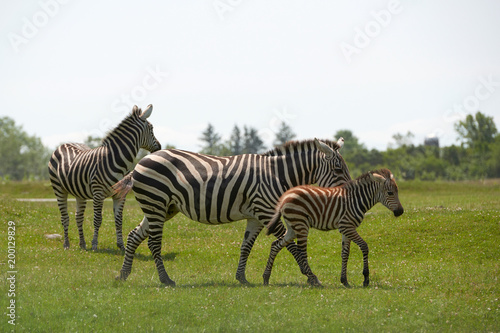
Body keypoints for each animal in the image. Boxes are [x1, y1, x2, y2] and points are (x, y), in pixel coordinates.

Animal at [47, 104, 161, 249]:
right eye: (151, 129)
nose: (160, 147)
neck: (116, 159)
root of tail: (64, 144)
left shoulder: (121, 194)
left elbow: (119, 220)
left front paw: (121, 246)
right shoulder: (98, 192)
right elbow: (97, 219)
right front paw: (95, 244)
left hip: (79, 192)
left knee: (78, 216)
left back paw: (82, 244)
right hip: (58, 188)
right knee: (65, 217)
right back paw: (67, 244)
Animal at [112, 137, 352, 286]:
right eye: (338, 169)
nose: (348, 193)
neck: (276, 174)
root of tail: (141, 161)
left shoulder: (256, 217)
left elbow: (246, 246)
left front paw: (242, 278)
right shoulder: (266, 211)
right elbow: (291, 246)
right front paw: (312, 277)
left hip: (163, 207)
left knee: (134, 236)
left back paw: (123, 274)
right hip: (156, 203)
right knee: (153, 243)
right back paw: (166, 280)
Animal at [264, 167, 404, 286]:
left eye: (397, 192)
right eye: (390, 193)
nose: (400, 212)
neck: (356, 200)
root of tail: (285, 196)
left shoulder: (347, 229)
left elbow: (345, 253)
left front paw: (344, 281)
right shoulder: (347, 226)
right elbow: (364, 246)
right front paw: (366, 278)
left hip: (292, 227)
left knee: (275, 245)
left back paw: (266, 278)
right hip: (301, 224)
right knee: (302, 252)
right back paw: (314, 280)